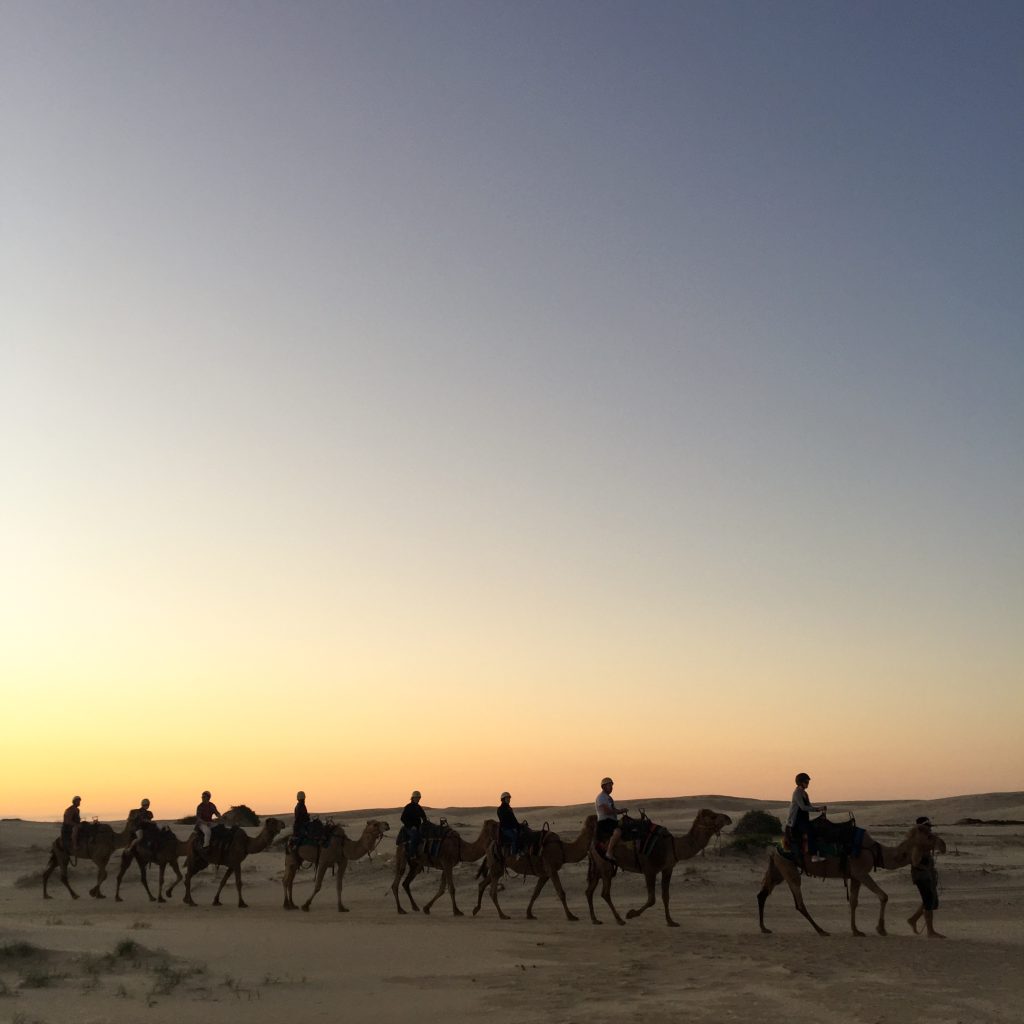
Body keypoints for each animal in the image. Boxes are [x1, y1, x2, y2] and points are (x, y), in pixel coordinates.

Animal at [581, 806, 733, 929]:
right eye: (713, 816)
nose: (728, 818)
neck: (672, 845)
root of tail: (592, 845)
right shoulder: (649, 870)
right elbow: (652, 899)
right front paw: (631, 914)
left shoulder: (668, 868)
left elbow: (666, 896)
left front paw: (671, 921)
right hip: (605, 865)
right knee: (605, 893)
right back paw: (619, 919)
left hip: (597, 867)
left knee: (589, 891)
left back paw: (595, 919)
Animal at [757, 815, 946, 937]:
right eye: (930, 835)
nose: (943, 845)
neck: (876, 851)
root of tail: (776, 847)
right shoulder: (860, 872)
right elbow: (883, 896)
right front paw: (881, 929)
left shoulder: (854, 876)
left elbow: (854, 902)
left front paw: (856, 930)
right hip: (788, 867)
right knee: (799, 903)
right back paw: (821, 930)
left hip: (779, 868)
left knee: (762, 894)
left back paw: (764, 928)